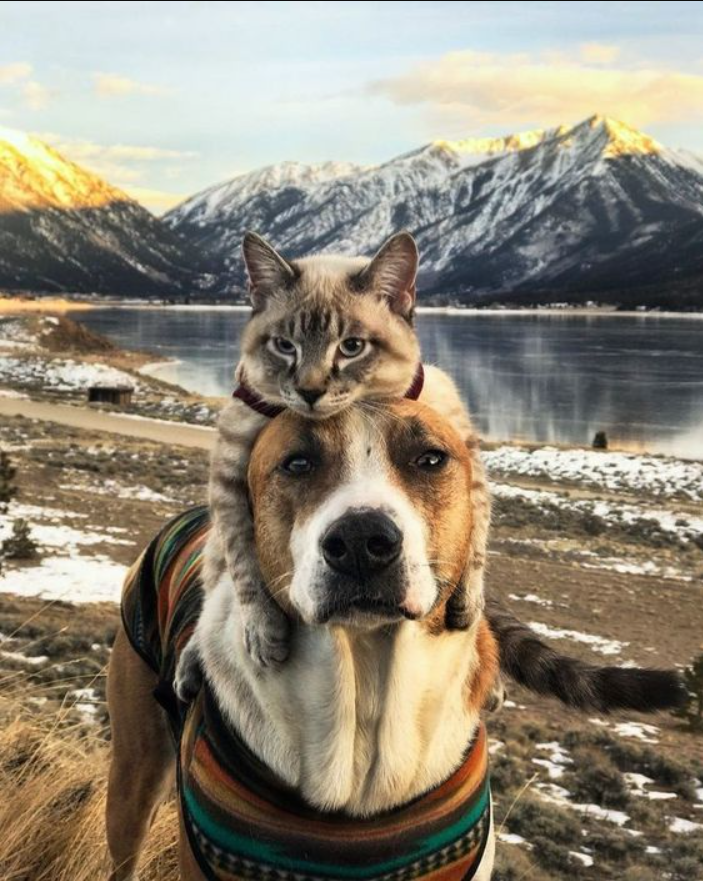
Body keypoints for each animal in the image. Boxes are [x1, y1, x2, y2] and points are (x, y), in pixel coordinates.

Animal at [177, 232, 490, 696]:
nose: (309, 391)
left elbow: (478, 535)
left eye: (352, 347)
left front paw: (469, 600)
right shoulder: (229, 479)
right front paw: (263, 631)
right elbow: (244, 568)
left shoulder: (466, 451)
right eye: (284, 346)